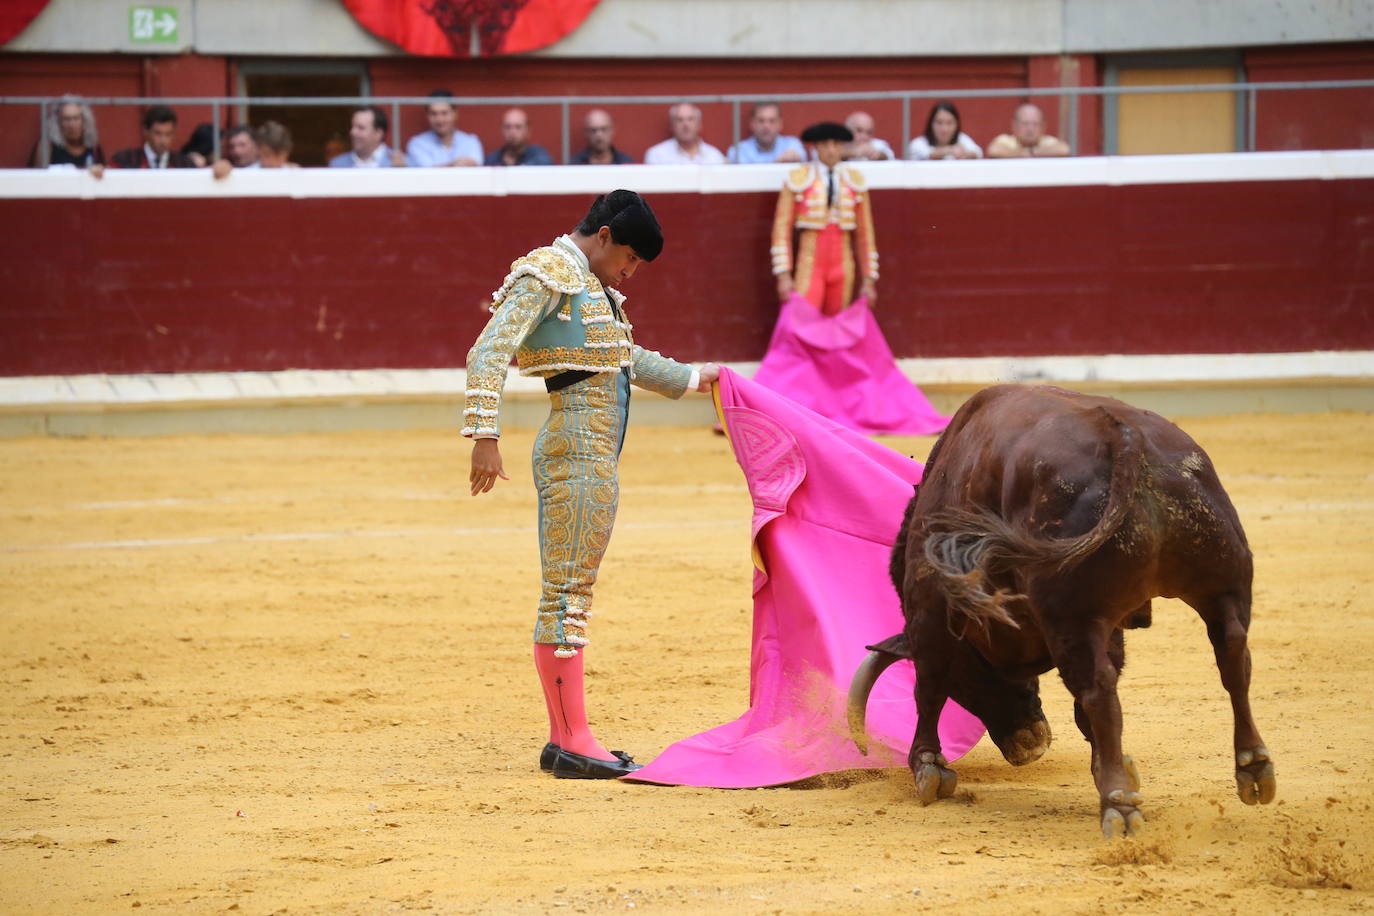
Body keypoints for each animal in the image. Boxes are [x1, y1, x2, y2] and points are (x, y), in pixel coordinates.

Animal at [846, 384, 1275, 840]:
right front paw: (1114, 766)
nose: (1027, 748)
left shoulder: (929, 610)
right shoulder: (1112, 626)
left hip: (1073, 615)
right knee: (1233, 658)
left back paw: (1119, 806)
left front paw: (928, 767)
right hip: (1222, 584)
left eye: (970, 678)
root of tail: (1126, 439)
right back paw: (1253, 768)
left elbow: (928, 688)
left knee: (1098, 689)